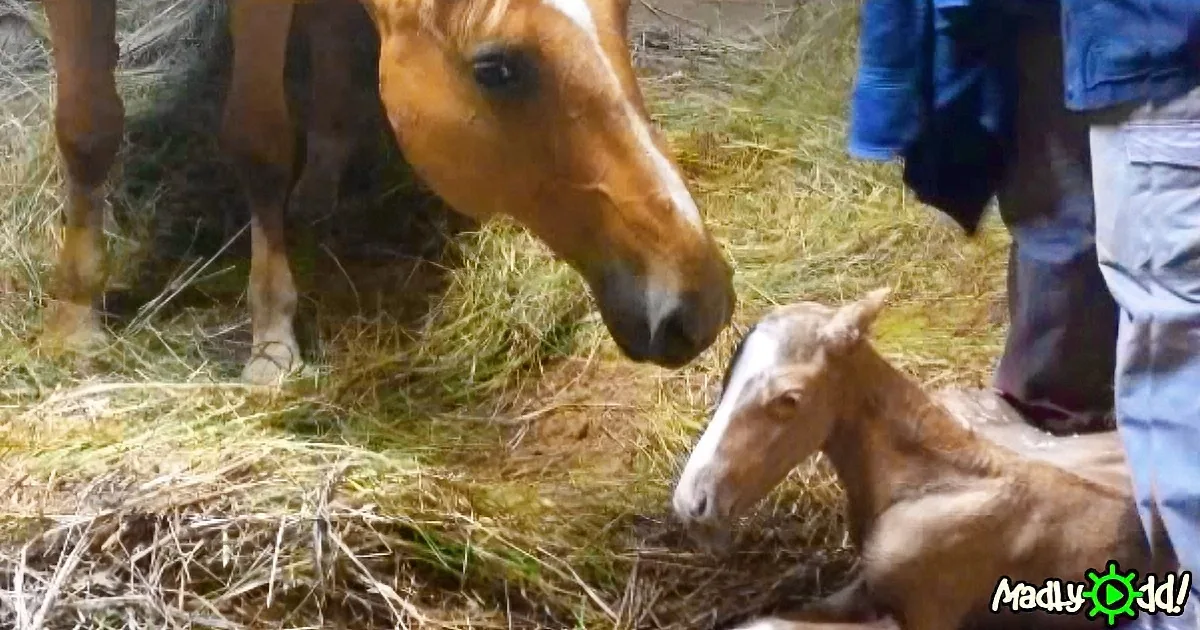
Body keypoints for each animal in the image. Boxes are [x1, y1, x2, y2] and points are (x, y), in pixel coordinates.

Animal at [37, 0, 736, 384]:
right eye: (497, 69)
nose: (701, 304)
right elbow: (86, 127)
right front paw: (75, 316)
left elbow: (259, 141)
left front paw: (271, 336)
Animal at [671, 289, 1159, 630]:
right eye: (726, 379)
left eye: (788, 400)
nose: (692, 502)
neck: (925, 481)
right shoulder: (865, 585)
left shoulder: (926, 614)